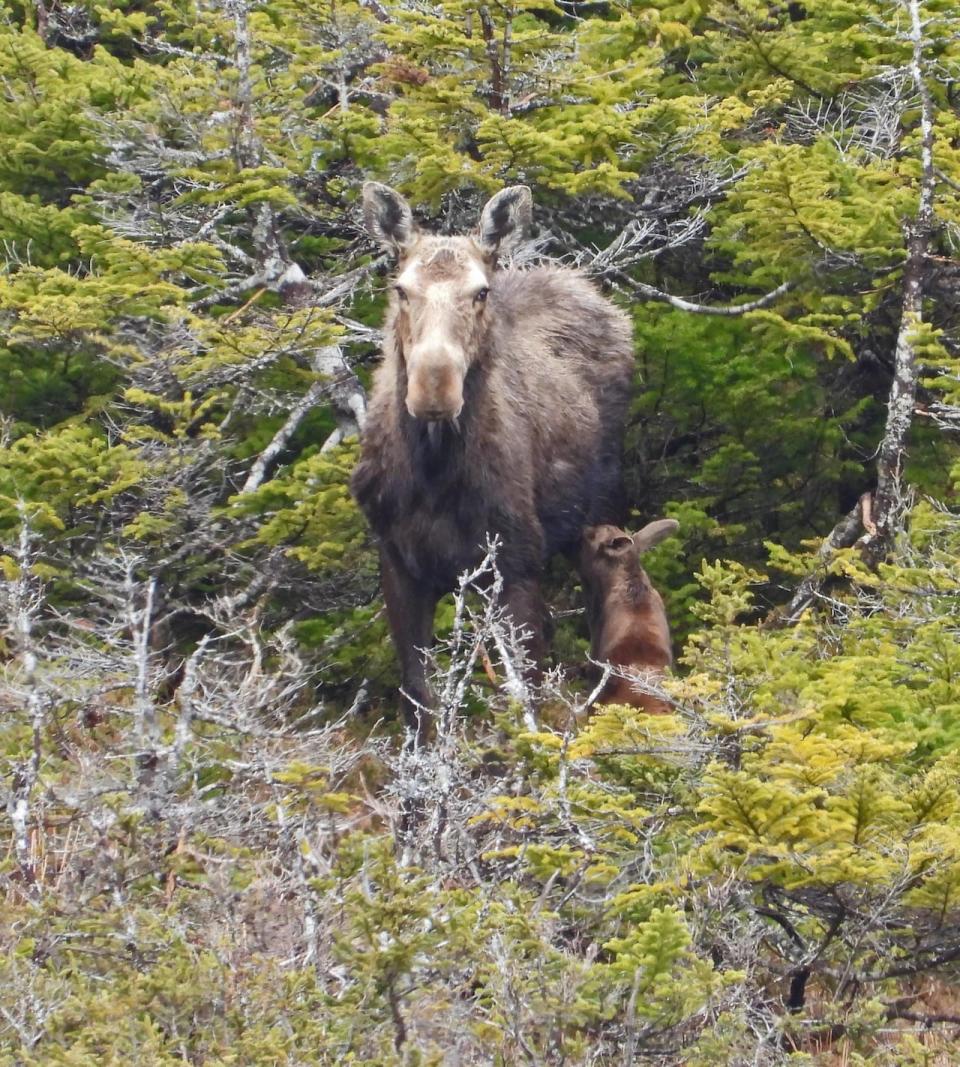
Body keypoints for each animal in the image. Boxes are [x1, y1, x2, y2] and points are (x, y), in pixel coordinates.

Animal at [347, 183, 635, 734]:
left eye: (480, 292)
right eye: (401, 290)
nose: (433, 389)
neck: (433, 472)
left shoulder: (515, 565)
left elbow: (523, 700)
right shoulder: (398, 562)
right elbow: (417, 697)